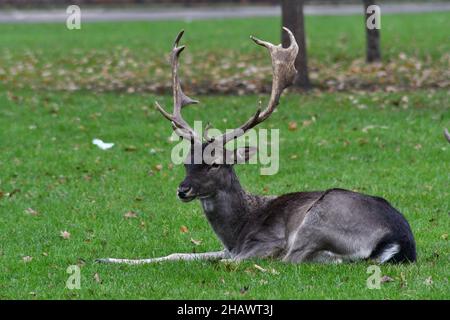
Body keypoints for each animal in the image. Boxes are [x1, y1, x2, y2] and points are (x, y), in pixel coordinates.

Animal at [96, 29, 416, 264]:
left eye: (215, 163)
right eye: (187, 161)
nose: (183, 189)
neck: (237, 232)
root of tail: (399, 241)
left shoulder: (266, 241)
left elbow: (229, 261)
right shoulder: (227, 247)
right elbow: (177, 253)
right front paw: (107, 259)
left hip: (320, 217)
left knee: (291, 260)